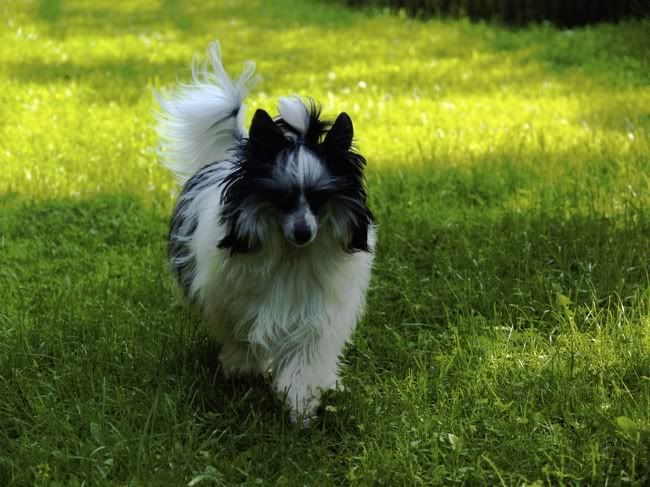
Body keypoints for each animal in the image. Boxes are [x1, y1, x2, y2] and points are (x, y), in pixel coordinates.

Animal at [155, 42, 375, 425]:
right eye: (280, 197)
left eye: (320, 198)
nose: (303, 232)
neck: (291, 254)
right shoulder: (236, 301)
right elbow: (242, 337)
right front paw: (243, 371)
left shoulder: (315, 315)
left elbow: (305, 358)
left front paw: (301, 406)